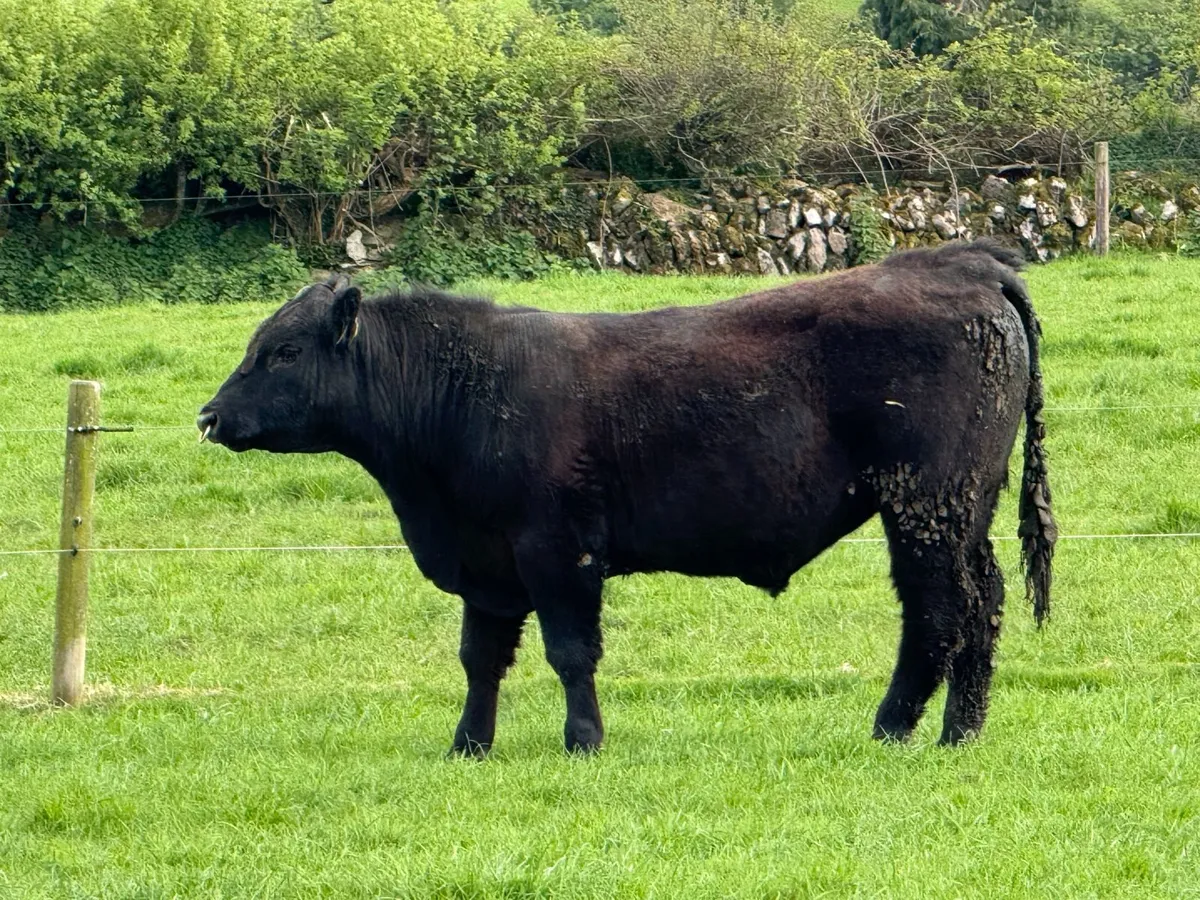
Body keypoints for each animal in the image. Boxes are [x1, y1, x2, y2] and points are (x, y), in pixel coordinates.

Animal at [197, 239, 1056, 756]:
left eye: (282, 351)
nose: (209, 416)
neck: (467, 388)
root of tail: (961, 261)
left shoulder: (558, 551)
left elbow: (570, 652)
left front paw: (583, 738)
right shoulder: (487, 566)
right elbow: (480, 658)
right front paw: (468, 743)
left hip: (925, 506)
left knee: (938, 611)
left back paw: (894, 726)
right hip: (962, 509)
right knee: (983, 603)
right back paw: (960, 732)